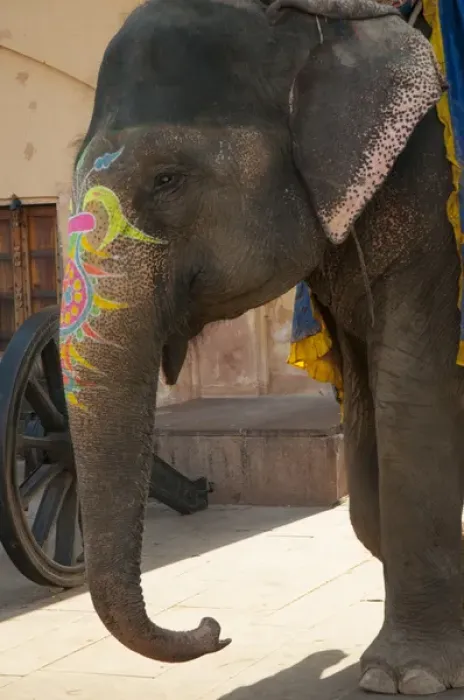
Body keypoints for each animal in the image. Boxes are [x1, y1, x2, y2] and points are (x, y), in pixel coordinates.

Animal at [59, 0, 464, 694]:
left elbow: (410, 402)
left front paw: (404, 677)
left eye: (168, 179)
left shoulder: (430, 205)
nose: (212, 627)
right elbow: (367, 433)